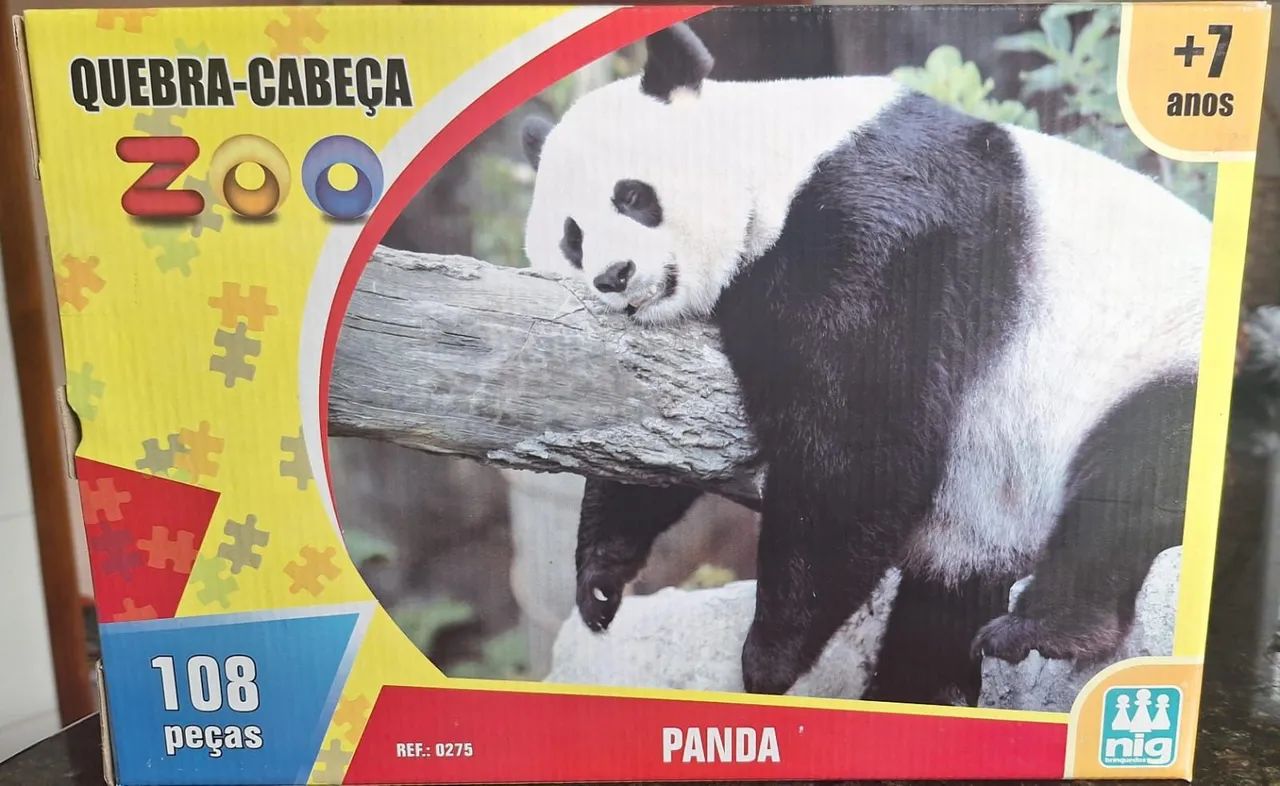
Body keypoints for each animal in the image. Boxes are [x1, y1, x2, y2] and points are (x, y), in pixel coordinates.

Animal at [520, 22, 1208, 703]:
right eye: (572, 237)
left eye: (633, 196)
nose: (614, 275)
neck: (772, 158)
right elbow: (656, 434)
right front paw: (601, 578)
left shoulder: (879, 220)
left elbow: (859, 441)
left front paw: (768, 659)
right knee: (940, 616)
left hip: (1160, 358)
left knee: (1137, 471)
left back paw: (1043, 629)